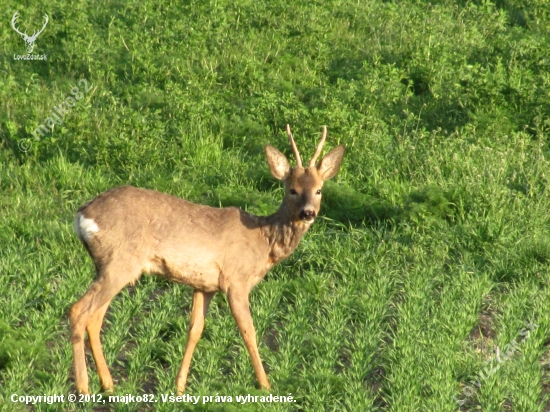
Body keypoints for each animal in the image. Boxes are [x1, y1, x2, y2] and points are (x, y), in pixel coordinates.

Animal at [69, 124, 344, 394]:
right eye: (292, 190)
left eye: (319, 190)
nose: (308, 213)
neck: (263, 242)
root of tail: (82, 216)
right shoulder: (236, 280)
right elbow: (248, 331)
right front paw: (265, 385)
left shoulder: (205, 285)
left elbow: (195, 330)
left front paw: (179, 386)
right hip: (120, 262)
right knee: (78, 310)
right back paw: (84, 388)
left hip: (109, 266)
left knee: (95, 318)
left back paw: (108, 384)